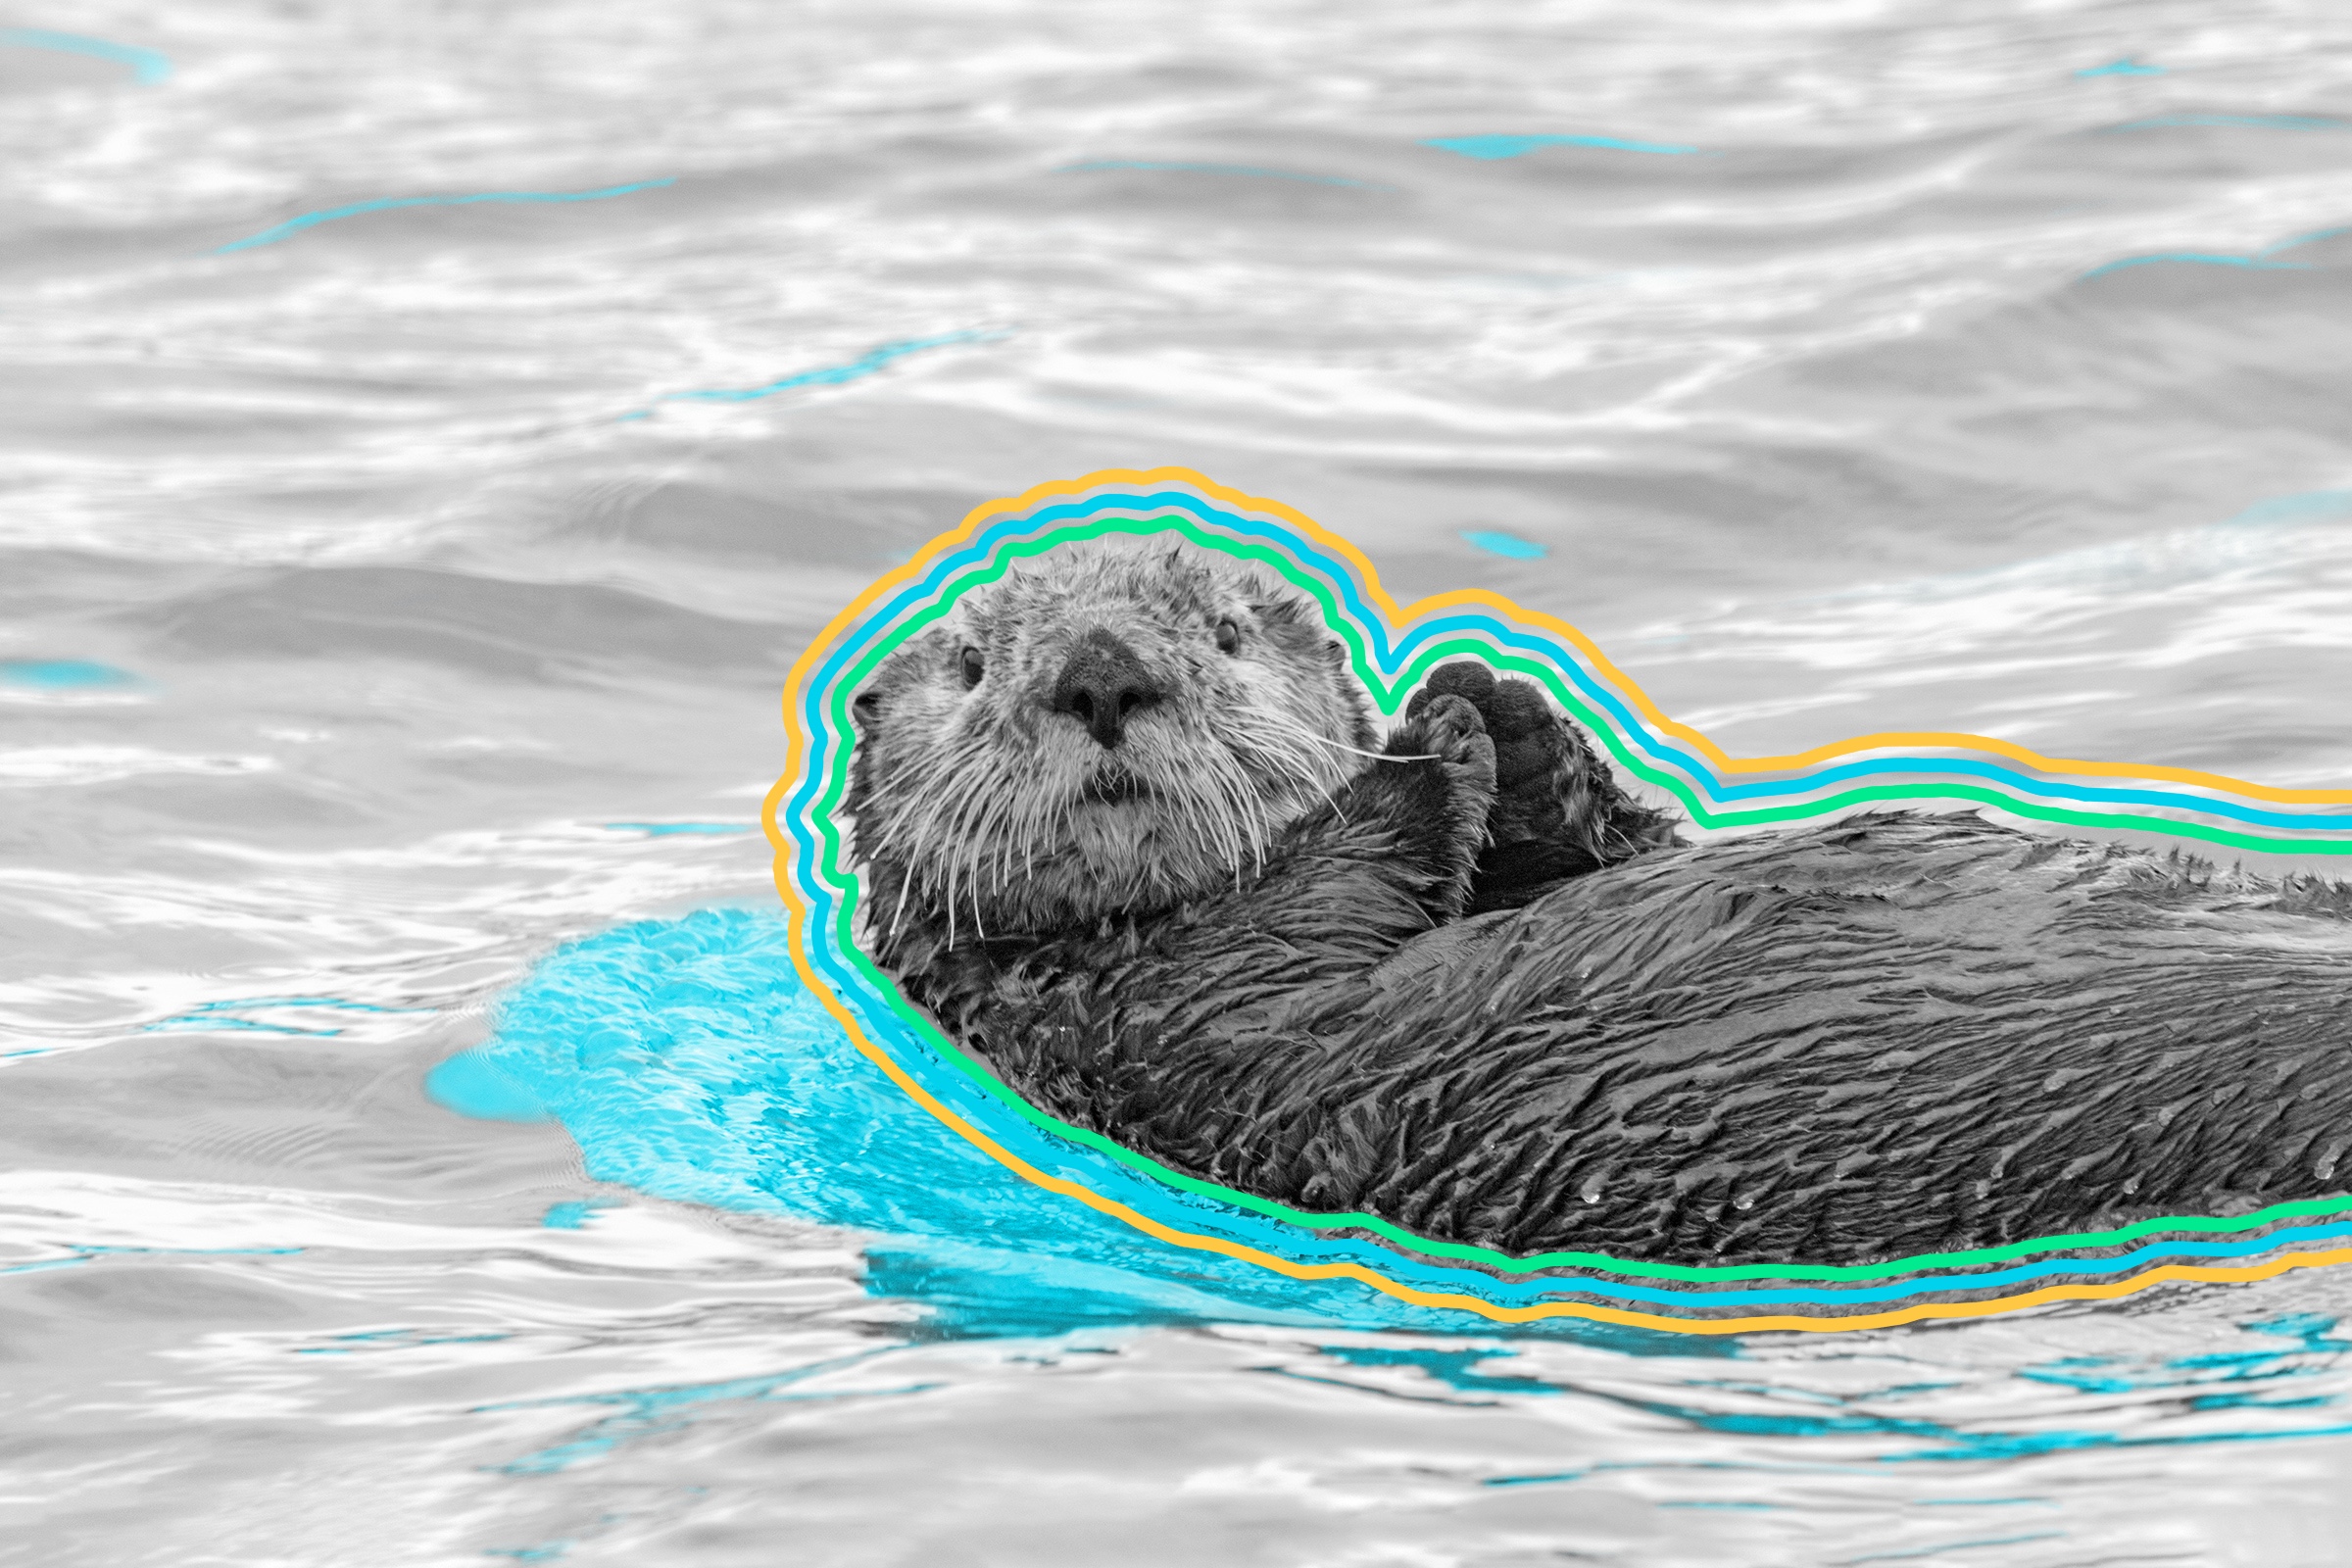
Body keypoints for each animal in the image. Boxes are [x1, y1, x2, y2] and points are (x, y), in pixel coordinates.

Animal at [845, 538, 2352, 1269]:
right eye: (970, 665)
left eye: (1222, 631)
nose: (1100, 672)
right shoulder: (1167, 1027)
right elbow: (1332, 898)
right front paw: (1439, 738)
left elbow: (1604, 847)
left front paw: (1496, 702)